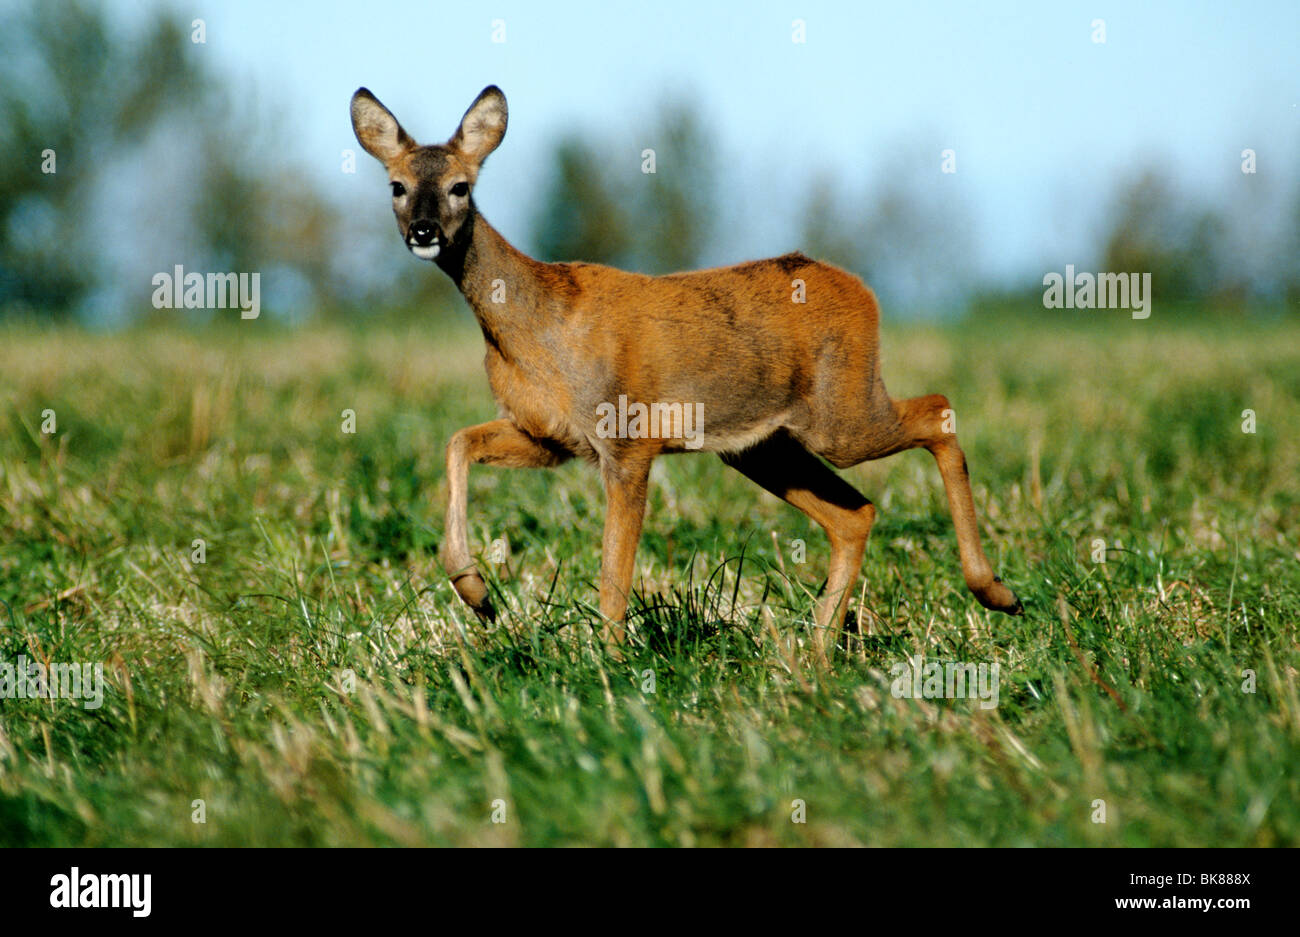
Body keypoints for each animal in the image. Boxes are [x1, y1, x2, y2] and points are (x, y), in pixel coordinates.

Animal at [351, 82, 1019, 665]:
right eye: (397, 186)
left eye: (461, 186)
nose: (424, 232)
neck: (533, 328)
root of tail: (861, 290)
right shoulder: (549, 436)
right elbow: (458, 442)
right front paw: (477, 593)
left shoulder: (626, 435)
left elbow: (613, 572)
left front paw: (611, 667)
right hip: (762, 445)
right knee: (855, 514)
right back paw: (816, 656)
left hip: (841, 413)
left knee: (936, 409)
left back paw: (995, 593)